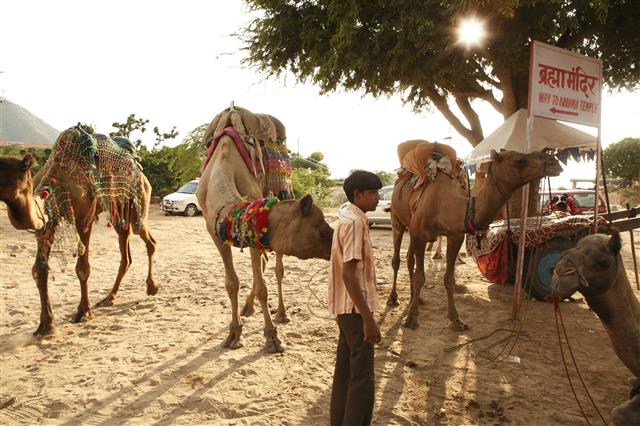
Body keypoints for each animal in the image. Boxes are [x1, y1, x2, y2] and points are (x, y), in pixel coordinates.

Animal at [0, 126, 159, 336]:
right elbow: (39, 270)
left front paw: (83, 312)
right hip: (119, 211)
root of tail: (140, 169)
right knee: (126, 253)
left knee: (147, 239)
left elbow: (83, 268)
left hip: (139, 200)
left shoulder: (85, 221)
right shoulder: (47, 224)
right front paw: (46, 325)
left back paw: (152, 287)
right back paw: (109, 298)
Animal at [198, 106, 332, 352]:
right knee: (262, 264)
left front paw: (272, 337)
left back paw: (281, 312)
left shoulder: (253, 221)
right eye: (321, 230)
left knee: (278, 269)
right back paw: (248, 308)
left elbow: (263, 286)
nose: (334, 241)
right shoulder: (215, 231)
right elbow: (231, 283)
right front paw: (234, 334)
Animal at [384, 140, 560, 330]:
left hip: (411, 227)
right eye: (519, 160)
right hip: (397, 221)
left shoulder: (455, 236)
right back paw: (393, 298)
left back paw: (416, 298)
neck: (444, 205)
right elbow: (420, 277)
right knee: (397, 260)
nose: (554, 161)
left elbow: (448, 278)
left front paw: (456, 319)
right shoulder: (419, 235)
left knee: (409, 260)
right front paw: (412, 318)